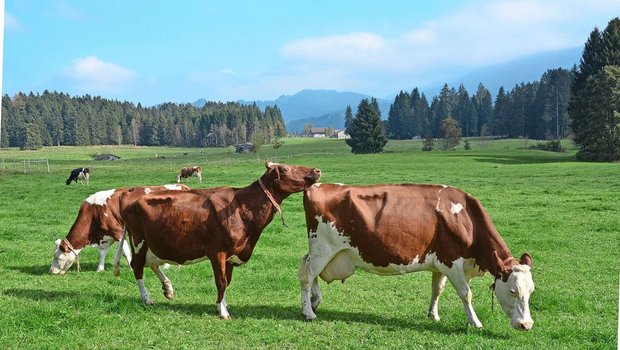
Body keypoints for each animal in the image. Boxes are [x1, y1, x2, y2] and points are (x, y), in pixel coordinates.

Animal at [50, 185, 189, 274]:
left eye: (57, 257)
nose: (50, 271)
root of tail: (182, 186)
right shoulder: (105, 236)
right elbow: (102, 252)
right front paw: (100, 268)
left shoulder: (117, 232)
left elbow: (125, 251)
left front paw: (131, 267)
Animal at [115, 163, 324, 318]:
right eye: (286, 168)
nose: (317, 170)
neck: (242, 207)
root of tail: (131, 193)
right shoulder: (217, 252)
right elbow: (221, 281)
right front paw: (223, 312)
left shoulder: (232, 253)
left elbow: (227, 281)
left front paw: (222, 305)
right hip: (139, 240)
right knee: (137, 267)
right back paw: (146, 298)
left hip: (154, 243)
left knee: (152, 264)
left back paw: (168, 288)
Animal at [298, 183, 536, 330]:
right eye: (513, 291)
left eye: (531, 291)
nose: (526, 325)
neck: (465, 219)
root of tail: (318, 186)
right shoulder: (452, 263)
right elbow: (466, 294)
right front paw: (475, 322)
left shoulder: (439, 263)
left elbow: (437, 289)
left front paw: (434, 315)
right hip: (323, 249)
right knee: (307, 276)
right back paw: (308, 312)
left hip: (323, 253)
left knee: (307, 267)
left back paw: (315, 301)